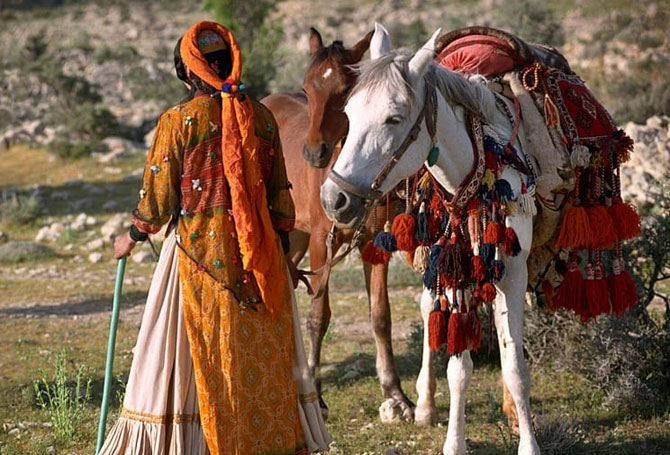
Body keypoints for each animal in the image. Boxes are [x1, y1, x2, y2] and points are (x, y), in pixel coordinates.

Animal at [262, 28, 414, 420]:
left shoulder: (373, 242)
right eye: (307, 85)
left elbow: (380, 315)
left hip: (295, 236)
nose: (314, 153)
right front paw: (316, 395)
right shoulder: (322, 240)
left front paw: (396, 394)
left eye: (346, 89)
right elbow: (318, 315)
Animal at [318, 24, 540, 455]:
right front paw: (454, 442)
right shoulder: (454, 268)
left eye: (393, 118)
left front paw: (528, 442)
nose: (333, 199)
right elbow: (459, 367)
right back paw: (423, 403)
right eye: (349, 115)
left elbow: (515, 367)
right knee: (426, 310)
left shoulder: (512, 271)